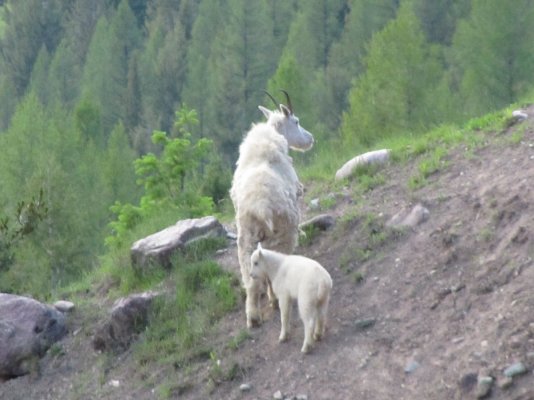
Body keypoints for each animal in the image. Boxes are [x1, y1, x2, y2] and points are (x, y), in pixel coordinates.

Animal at [232, 90, 316, 328]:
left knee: (250, 276)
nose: (310, 139)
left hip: (246, 236)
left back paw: (253, 317)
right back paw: (275, 299)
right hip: (282, 229)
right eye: (296, 121)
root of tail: (260, 207)